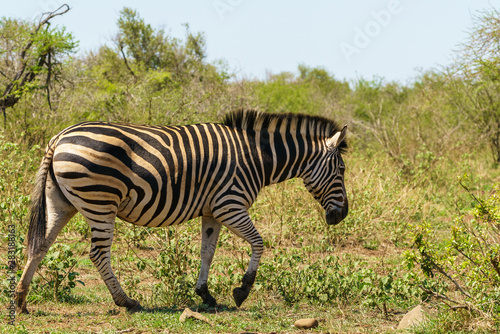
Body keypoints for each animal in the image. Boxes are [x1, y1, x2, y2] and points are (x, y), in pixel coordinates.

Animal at [14, 109, 348, 314]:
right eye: (342, 170)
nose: (342, 215)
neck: (256, 158)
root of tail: (59, 137)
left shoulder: (212, 211)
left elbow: (207, 252)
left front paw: (205, 294)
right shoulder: (230, 204)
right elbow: (258, 242)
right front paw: (242, 289)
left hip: (62, 201)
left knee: (40, 245)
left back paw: (20, 301)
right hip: (100, 201)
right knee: (97, 254)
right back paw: (126, 301)